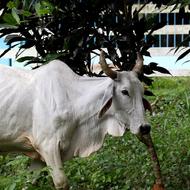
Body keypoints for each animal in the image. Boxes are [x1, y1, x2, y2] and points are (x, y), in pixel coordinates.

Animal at [0, 51, 151, 189]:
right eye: (124, 91)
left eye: (142, 91)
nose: (145, 127)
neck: (72, 101)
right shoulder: (48, 146)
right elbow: (61, 182)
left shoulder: (39, 156)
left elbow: (29, 182)